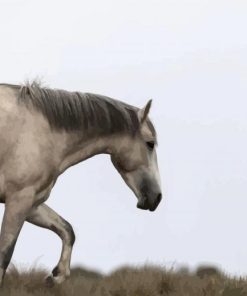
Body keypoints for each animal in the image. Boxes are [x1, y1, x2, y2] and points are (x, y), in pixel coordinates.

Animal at [0, 82, 162, 286]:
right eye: (150, 144)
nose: (157, 197)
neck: (40, 132)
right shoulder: (19, 199)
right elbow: (4, 255)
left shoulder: (31, 203)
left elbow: (67, 229)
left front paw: (57, 275)